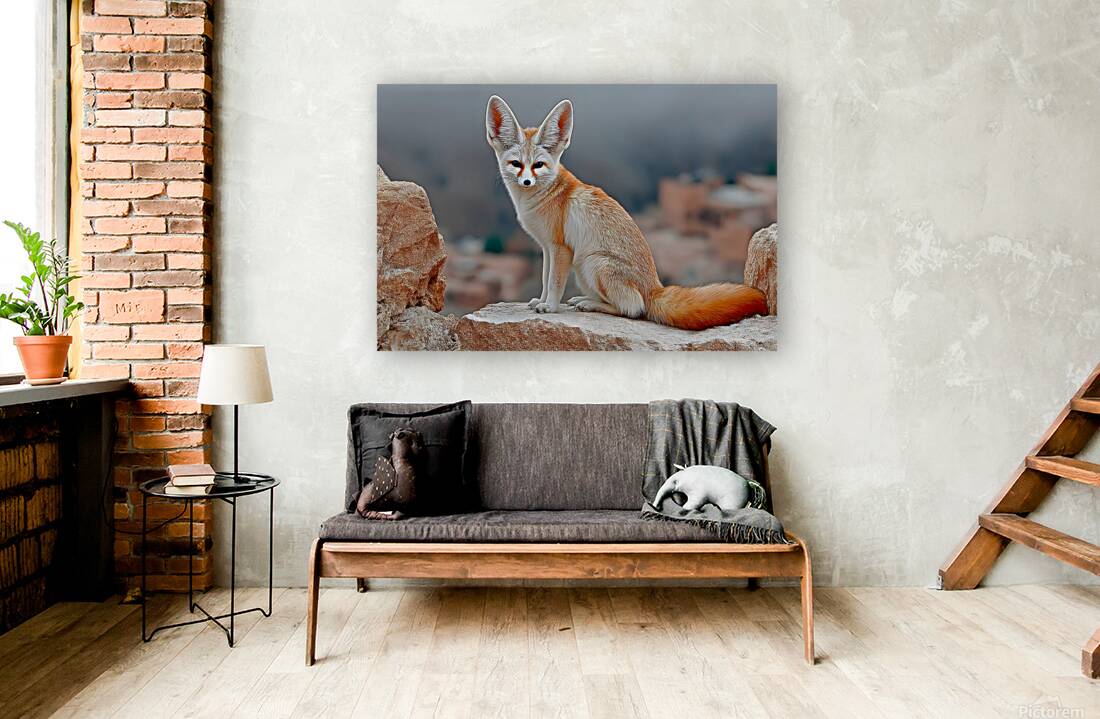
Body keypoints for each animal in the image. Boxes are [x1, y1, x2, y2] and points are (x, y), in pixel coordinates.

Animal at [485, 94, 768, 331]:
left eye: (538, 166)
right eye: (516, 164)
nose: (526, 182)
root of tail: (654, 288)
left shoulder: (560, 248)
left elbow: (554, 283)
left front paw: (550, 308)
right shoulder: (546, 248)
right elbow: (545, 281)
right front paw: (539, 302)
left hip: (591, 262)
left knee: (633, 309)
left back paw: (592, 304)